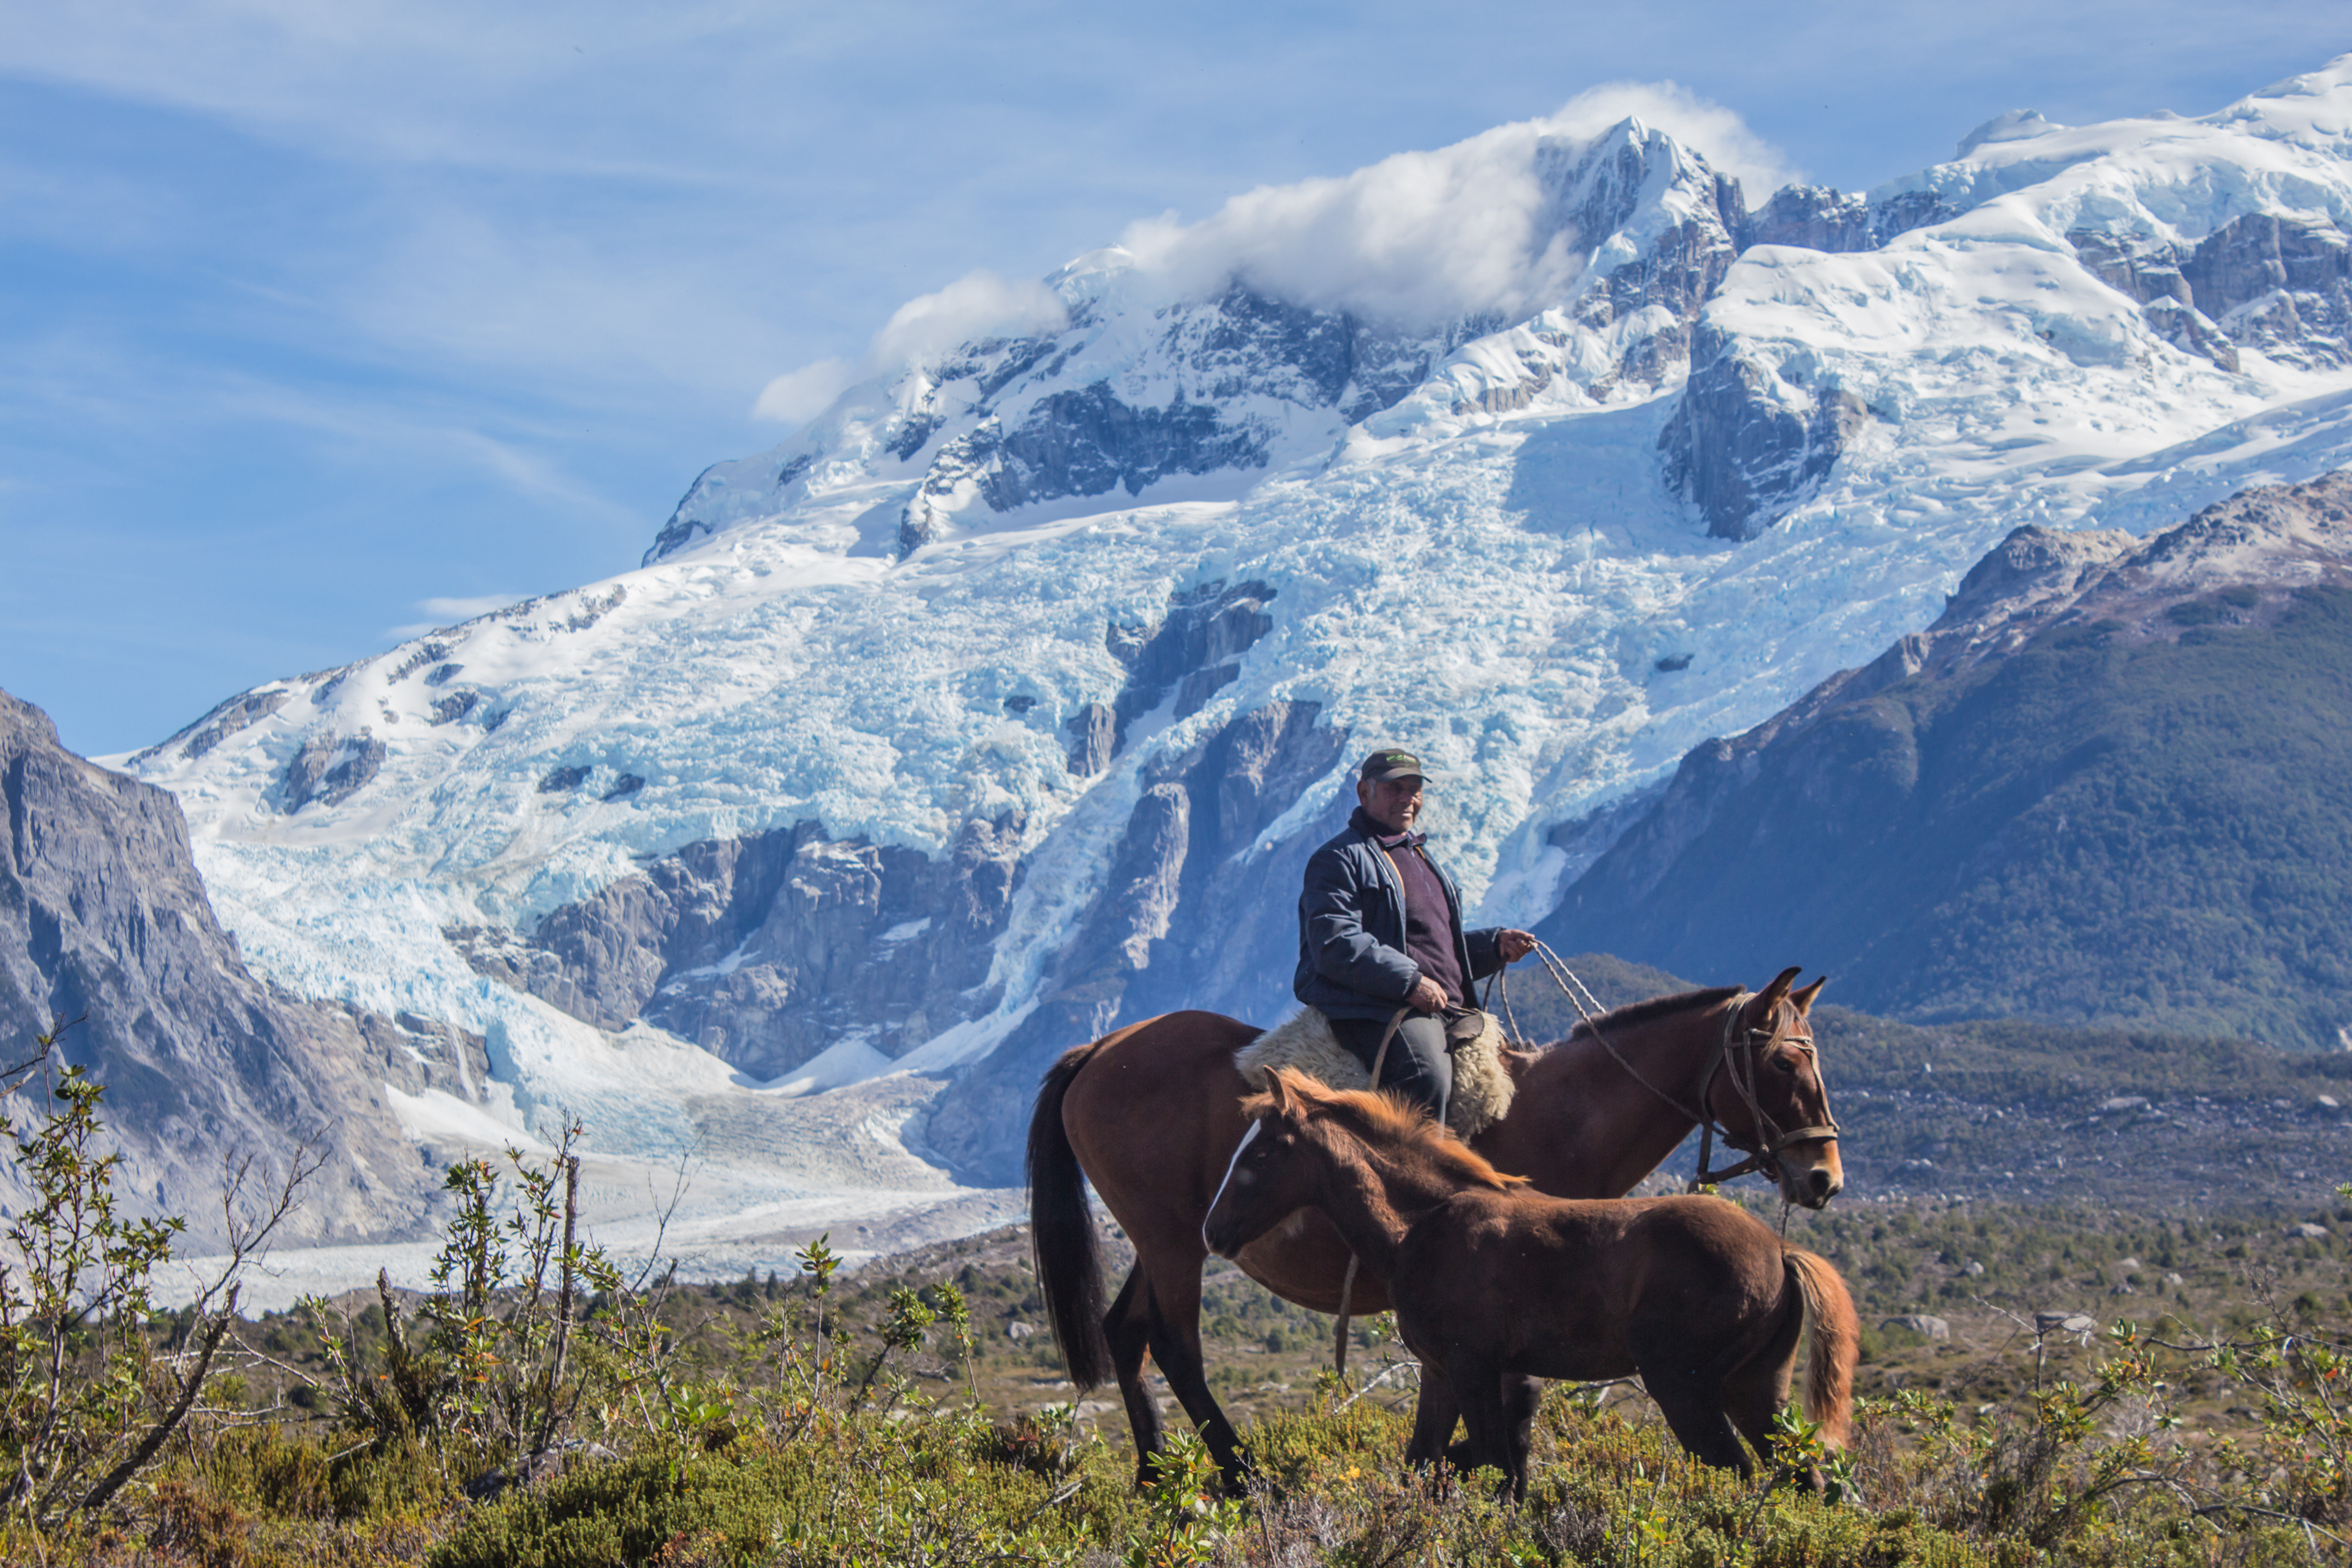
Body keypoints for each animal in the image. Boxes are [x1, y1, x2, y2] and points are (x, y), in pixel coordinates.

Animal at [1204, 1069, 1860, 1497]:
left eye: (1260, 1153)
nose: (1213, 1232)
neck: (1424, 1225)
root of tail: (1782, 1249)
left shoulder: (1473, 1366)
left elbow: (1493, 1462)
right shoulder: (1441, 1372)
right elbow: (1426, 1463)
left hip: (1685, 1383)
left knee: (1738, 1473)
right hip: (1755, 1386)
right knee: (1802, 1478)